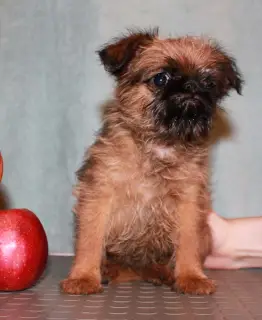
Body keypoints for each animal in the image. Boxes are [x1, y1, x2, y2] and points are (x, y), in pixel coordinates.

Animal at [60, 27, 243, 296]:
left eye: (209, 83)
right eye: (161, 79)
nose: (192, 85)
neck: (160, 144)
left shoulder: (189, 204)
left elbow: (188, 243)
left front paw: (191, 276)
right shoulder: (97, 196)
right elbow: (90, 241)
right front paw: (83, 276)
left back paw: (163, 273)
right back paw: (109, 270)